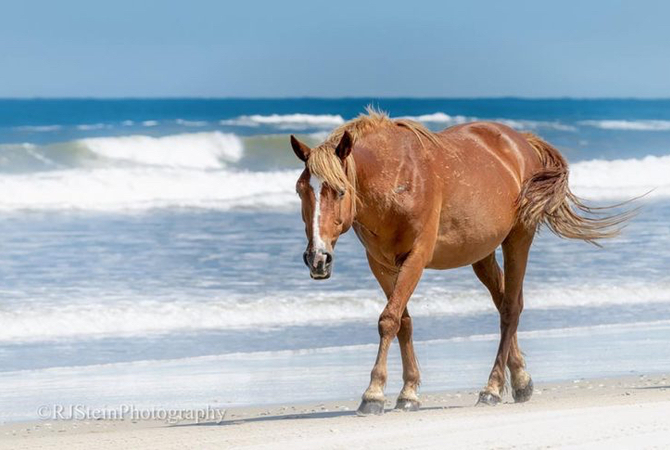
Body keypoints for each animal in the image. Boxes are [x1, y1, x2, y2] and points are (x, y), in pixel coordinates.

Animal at [290, 108, 632, 414]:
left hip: (519, 238)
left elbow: (388, 320)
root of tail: (520, 140)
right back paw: (521, 380)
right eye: (300, 190)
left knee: (511, 308)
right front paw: (409, 392)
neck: (394, 178)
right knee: (505, 302)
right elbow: (402, 321)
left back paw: (492, 388)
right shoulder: (381, 264)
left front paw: (373, 394)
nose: (317, 259)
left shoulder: (416, 257)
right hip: (481, 255)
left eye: (339, 191)